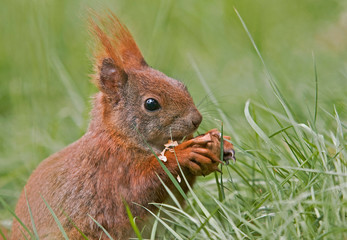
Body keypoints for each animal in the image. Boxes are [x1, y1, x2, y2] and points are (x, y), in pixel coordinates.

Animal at [10, 13, 235, 240]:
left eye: (181, 85)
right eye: (151, 104)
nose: (196, 119)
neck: (119, 137)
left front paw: (220, 144)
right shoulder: (110, 170)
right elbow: (137, 191)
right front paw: (182, 154)